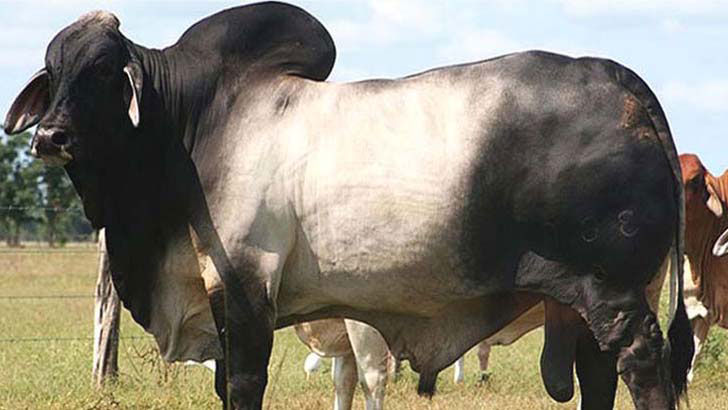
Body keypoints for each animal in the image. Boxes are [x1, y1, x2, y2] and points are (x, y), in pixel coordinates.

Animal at [3, 3, 692, 409]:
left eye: (102, 72)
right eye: (53, 72)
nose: (49, 137)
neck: (189, 126)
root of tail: (620, 80)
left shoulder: (246, 290)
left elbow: (243, 383)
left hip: (611, 287)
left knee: (640, 361)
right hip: (589, 298)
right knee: (599, 372)